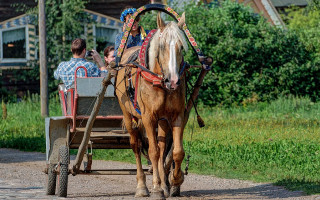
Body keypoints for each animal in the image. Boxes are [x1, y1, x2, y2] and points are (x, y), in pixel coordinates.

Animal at [115, 12, 189, 198]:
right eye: (162, 47)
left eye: (181, 47)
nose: (173, 81)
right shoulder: (148, 117)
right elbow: (153, 152)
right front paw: (156, 186)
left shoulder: (177, 115)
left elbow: (176, 151)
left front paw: (175, 179)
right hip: (129, 116)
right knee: (136, 145)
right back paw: (142, 186)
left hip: (162, 120)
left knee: (163, 147)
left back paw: (164, 184)